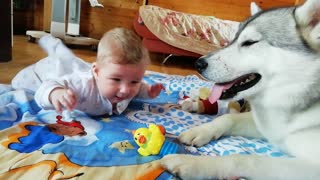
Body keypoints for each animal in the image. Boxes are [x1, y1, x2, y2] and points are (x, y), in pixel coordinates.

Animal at [161, 0, 320, 179]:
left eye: (250, 42)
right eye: (232, 39)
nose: (198, 64)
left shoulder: (312, 168)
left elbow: (246, 159)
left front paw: (194, 163)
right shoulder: (265, 124)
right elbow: (228, 118)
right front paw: (201, 130)